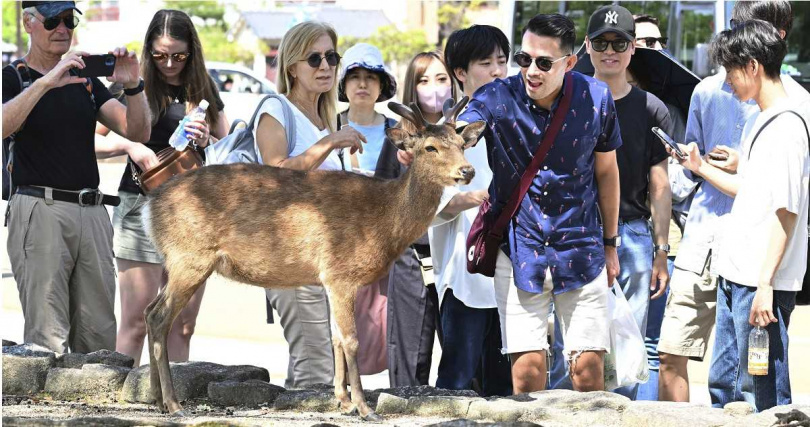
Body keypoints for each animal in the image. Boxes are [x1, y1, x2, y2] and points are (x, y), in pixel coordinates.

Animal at [143, 97, 485, 421]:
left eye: (461, 144)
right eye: (430, 147)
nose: (467, 171)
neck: (383, 220)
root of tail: (151, 206)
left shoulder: (328, 279)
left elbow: (334, 338)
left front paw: (344, 402)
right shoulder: (341, 272)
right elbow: (351, 339)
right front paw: (365, 407)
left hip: (177, 261)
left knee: (148, 311)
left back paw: (157, 400)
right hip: (190, 257)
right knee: (159, 317)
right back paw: (174, 404)